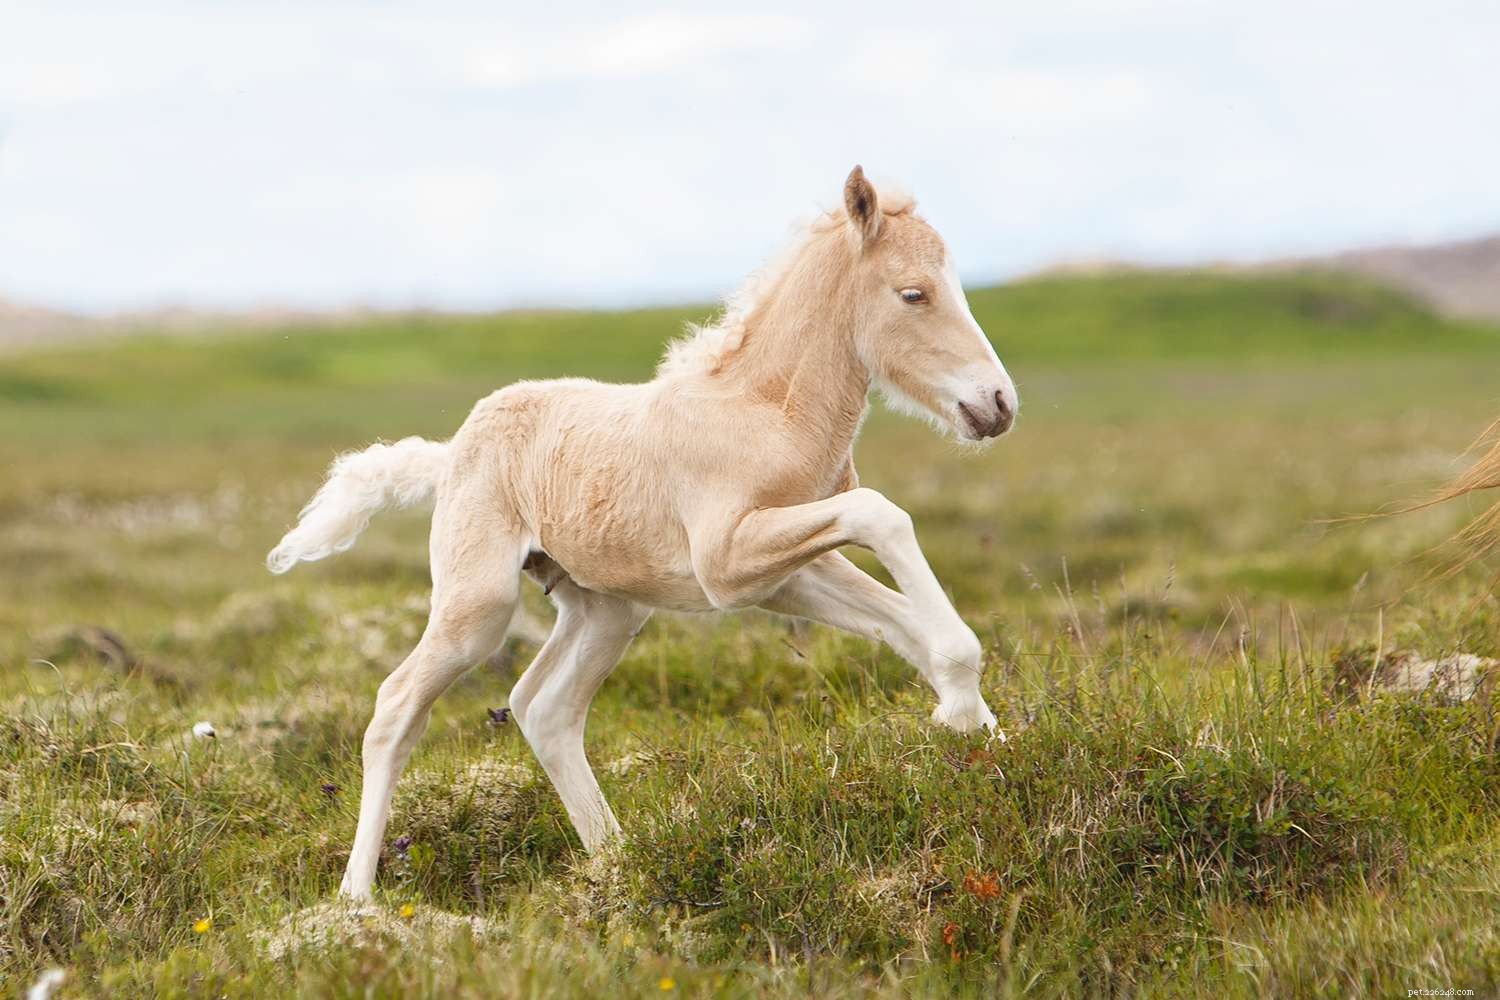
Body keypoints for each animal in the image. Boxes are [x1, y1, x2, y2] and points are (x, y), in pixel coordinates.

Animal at [266, 166, 1019, 901]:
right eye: (913, 293)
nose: (998, 404)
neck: (767, 413)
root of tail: (450, 452)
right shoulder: (729, 562)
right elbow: (883, 516)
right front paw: (964, 707)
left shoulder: (789, 574)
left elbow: (899, 619)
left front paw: (983, 737)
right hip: (477, 606)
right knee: (398, 705)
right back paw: (357, 900)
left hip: (607, 609)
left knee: (544, 708)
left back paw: (618, 861)